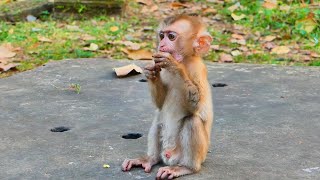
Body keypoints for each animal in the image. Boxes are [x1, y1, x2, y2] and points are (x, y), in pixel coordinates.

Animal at [121, 14, 214, 179]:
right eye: (161, 36)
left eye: (171, 37)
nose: (162, 45)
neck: (185, 60)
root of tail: (169, 157)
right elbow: (160, 104)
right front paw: (151, 73)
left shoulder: (197, 69)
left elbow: (196, 106)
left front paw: (175, 66)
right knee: (159, 116)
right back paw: (150, 159)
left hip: (197, 155)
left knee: (192, 121)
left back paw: (186, 168)